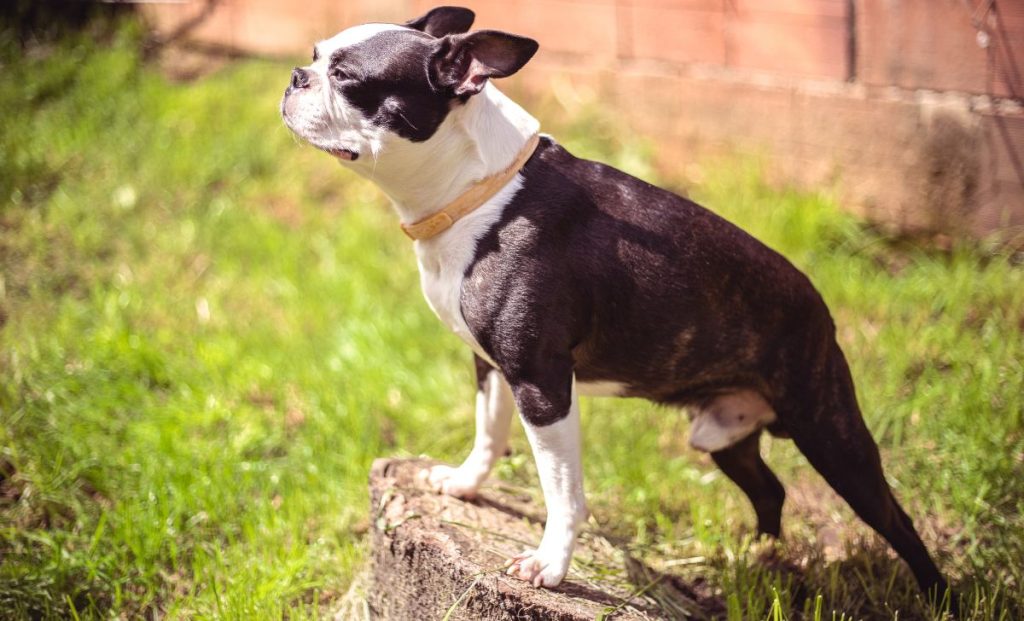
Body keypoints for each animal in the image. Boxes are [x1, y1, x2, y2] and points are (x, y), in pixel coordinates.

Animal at [276, 3, 946, 598]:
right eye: (315, 55)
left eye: (347, 79)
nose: (295, 76)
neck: (477, 191)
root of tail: (820, 308)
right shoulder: (493, 366)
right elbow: (489, 433)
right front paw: (465, 485)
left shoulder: (542, 383)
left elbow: (563, 489)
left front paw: (549, 566)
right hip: (723, 434)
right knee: (769, 489)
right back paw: (765, 561)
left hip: (827, 428)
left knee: (893, 518)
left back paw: (935, 595)